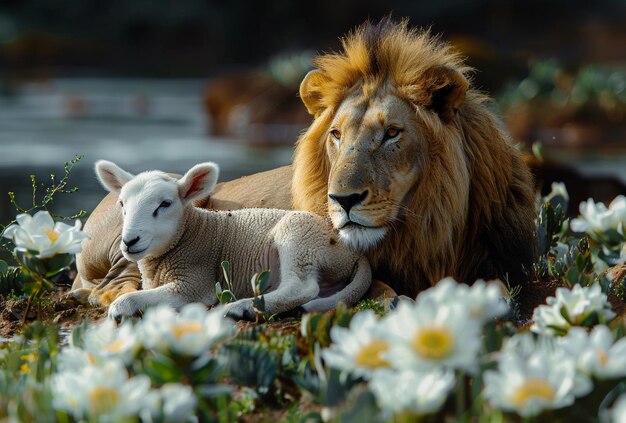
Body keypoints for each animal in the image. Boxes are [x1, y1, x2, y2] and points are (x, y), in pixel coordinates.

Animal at [94, 161, 370, 320]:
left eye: (165, 204)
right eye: (122, 204)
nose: (129, 241)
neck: (190, 232)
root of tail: (354, 250)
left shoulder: (194, 281)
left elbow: (134, 298)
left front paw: (120, 307)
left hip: (300, 238)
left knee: (302, 287)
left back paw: (242, 308)